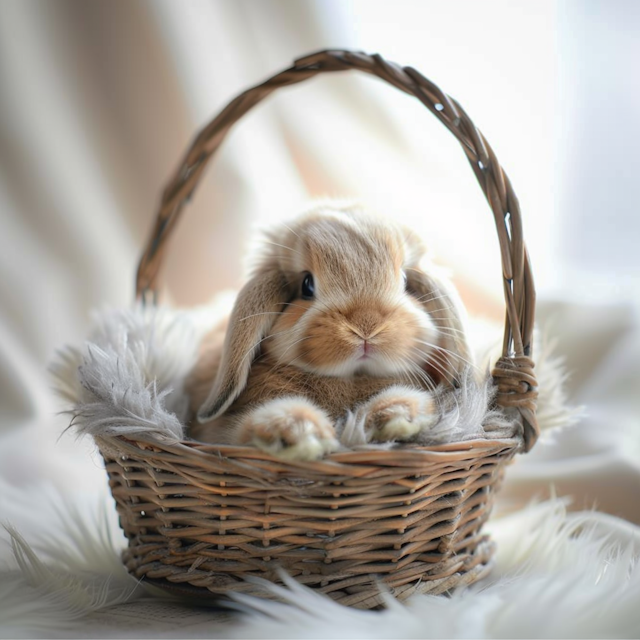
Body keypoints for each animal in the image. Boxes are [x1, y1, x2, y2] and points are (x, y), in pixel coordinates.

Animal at [185, 202, 470, 458]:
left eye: (405, 281)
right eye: (307, 285)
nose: (366, 325)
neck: (351, 379)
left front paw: (399, 416)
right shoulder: (222, 433)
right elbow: (244, 429)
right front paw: (302, 434)